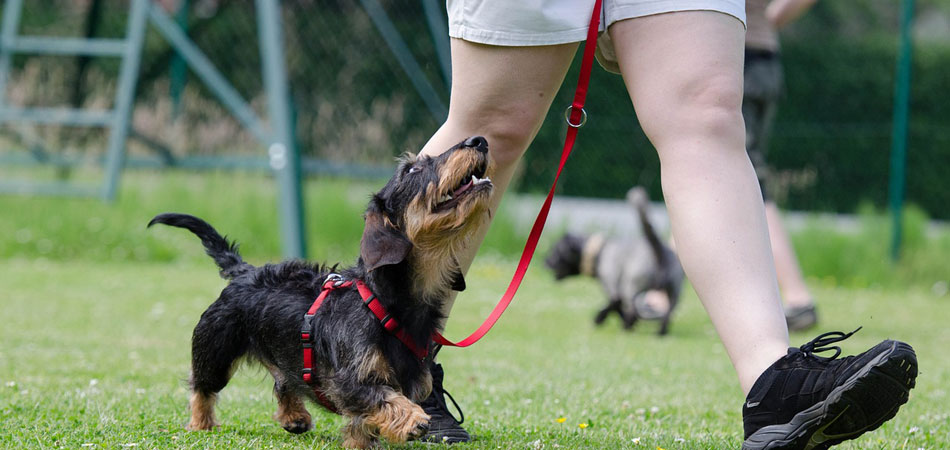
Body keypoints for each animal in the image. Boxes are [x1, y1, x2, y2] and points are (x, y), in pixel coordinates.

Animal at [147, 136, 498, 446]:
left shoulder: (412, 381)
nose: (479, 141)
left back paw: (294, 417)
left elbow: (364, 422)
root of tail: (246, 271)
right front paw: (413, 419)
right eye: (412, 169)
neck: (385, 302)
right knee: (202, 388)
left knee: (284, 381)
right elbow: (384, 398)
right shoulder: (349, 382)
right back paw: (201, 423)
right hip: (215, 350)